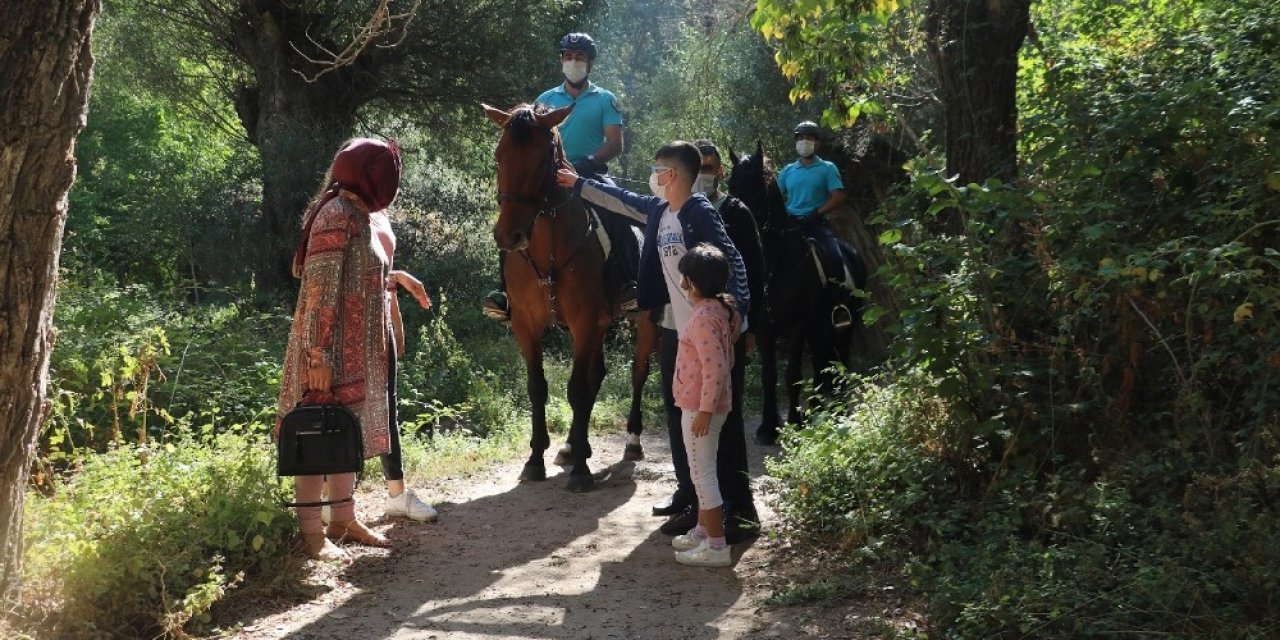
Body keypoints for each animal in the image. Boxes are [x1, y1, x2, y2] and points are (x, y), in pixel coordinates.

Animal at [481, 102, 660, 488]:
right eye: (499, 155)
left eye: (541, 160)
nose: (509, 236)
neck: (549, 248)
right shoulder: (527, 325)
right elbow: (538, 387)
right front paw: (536, 459)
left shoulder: (584, 321)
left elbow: (577, 388)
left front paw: (580, 471)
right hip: (601, 324)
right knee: (598, 375)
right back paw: (574, 446)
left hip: (642, 321)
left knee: (637, 372)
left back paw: (630, 442)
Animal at [732, 145, 870, 445]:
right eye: (732, 184)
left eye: (758, 183)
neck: (776, 262)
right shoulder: (765, 328)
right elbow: (769, 375)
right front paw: (768, 427)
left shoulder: (798, 325)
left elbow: (792, 373)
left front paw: (795, 421)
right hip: (819, 327)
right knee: (821, 362)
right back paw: (819, 410)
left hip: (844, 323)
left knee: (839, 359)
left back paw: (836, 412)